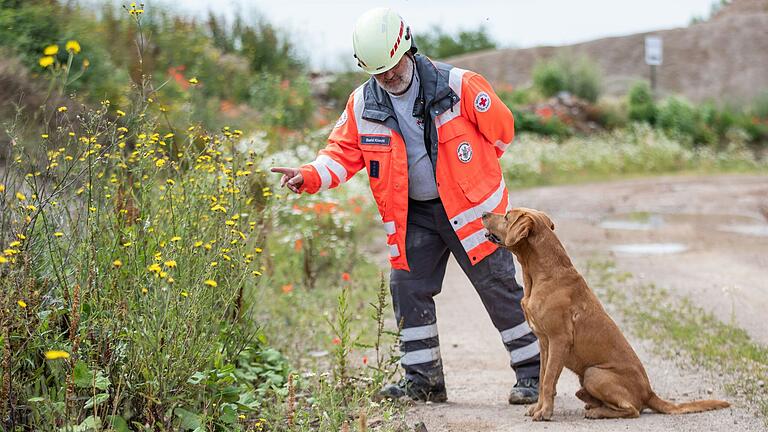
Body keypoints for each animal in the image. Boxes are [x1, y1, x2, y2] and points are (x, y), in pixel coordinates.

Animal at [484, 209, 728, 422]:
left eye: (507, 216)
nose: (483, 214)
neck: (543, 275)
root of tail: (649, 392)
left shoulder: (558, 340)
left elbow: (548, 381)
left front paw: (544, 413)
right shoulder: (544, 343)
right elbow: (544, 375)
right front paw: (538, 408)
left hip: (594, 373)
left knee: (632, 410)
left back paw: (597, 411)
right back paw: (590, 402)